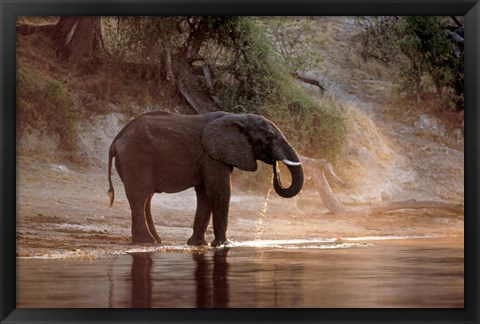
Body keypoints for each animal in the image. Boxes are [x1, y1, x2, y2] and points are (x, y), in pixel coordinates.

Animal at [109, 110, 304, 247]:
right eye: (269, 137)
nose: (275, 167)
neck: (238, 117)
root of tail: (117, 137)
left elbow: (205, 194)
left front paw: (197, 244)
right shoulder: (211, 155)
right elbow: (219, 191)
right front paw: (223, 244)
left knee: (146, 198)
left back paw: (157, 241)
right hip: (135, 157)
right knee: (140, 196)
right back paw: (146, 241)